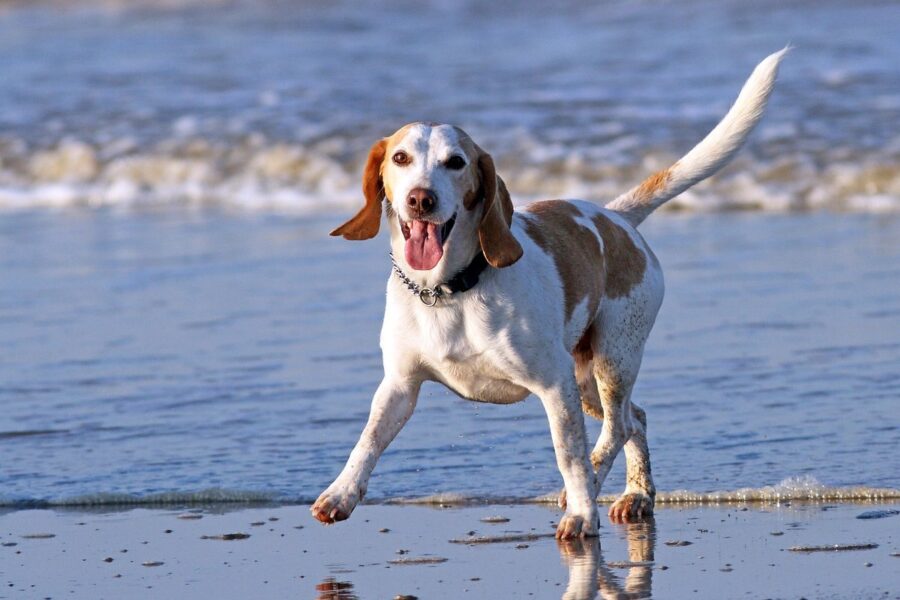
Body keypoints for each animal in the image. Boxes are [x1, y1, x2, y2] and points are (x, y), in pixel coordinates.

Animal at [312, 50, 784, 540]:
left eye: (456, 162)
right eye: (400, 158)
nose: (421, 199)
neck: (449, 290)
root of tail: (616, 217)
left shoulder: (553, 385)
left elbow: (569, 456)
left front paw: (580, 513)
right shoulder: (399, 385)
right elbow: (367, 441)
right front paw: (340, 494)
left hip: (612, 361)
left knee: (617, 427)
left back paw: (598, 488)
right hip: (586, 379)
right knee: (636, 419)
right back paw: (637, 495)